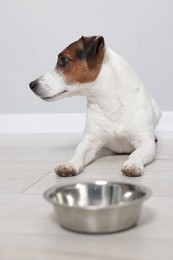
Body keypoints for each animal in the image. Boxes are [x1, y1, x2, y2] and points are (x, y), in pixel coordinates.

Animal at [29, 35, 161, 177]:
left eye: (63, 60)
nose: (31, 84)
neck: (109, 105)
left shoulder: (145, 143)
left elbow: (137, 153)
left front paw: (133, 164)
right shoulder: (90, 141)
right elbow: (79, 152)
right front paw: (70, 164)